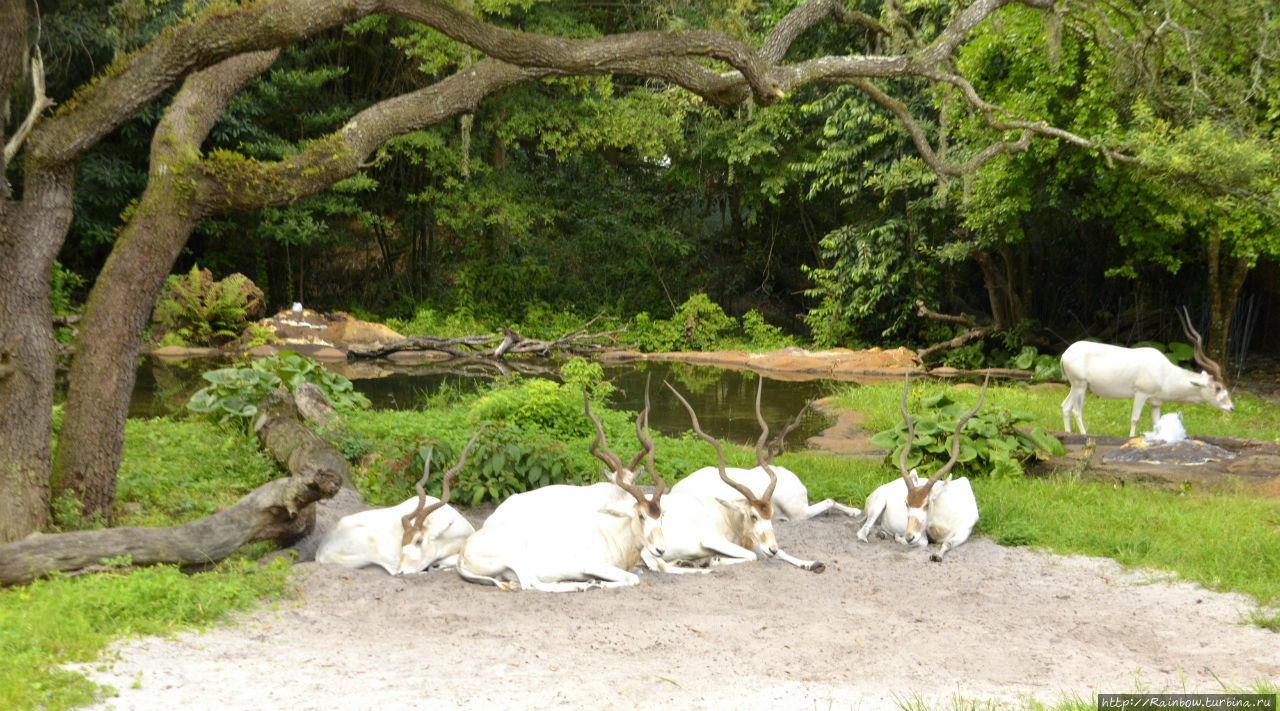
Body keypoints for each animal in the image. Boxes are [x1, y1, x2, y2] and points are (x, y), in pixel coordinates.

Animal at [660, 381, 829, 576]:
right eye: (753, 515)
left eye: (770, 515)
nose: (772, 548)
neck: (726, 516)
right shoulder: (712, 539)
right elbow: (752, 556)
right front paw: (714, 560)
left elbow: (777, 552)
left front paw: (813, 564)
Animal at [860, 374, 988, 561]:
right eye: (906, 503)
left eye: (926, 504)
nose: (909, 536)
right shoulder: (921, 534)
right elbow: (924, 542)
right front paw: (900, 538)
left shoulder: (964, 531)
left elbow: (947, 543)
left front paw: (937, 556)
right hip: (877, 506)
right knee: (864, 529)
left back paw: (883, 534)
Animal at [1054, 307, 1233, 440]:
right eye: (1218, 387)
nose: (1231, 407)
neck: (1164, 373)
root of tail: (1065, 354)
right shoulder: (1141, 394)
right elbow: (1135, 419)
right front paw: (1131, 439)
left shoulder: (1156, 403)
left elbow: (1157, 425)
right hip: (1081, 386)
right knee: (1076, 410)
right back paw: (1084, 435)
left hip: (1075, 386)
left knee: (1065, 406)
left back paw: (1068, 433)